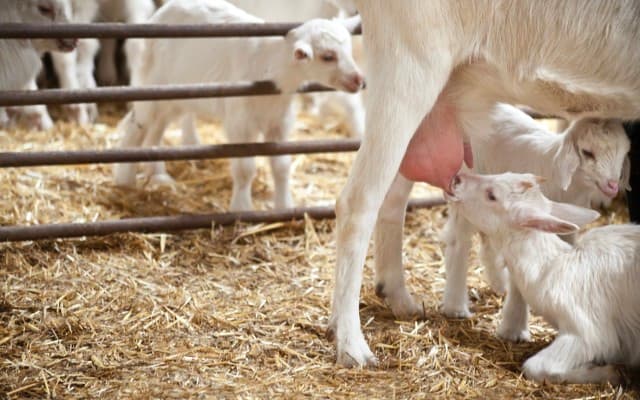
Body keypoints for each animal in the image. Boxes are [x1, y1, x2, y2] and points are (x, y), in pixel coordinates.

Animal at [112, 0, 364, 212]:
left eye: (349, 51)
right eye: (328, 56)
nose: (359, 80)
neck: (270, 66)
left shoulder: (279, 121)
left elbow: (282, 165)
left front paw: (284, 205)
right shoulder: (240, 122)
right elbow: (245, 169)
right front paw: (241, 208)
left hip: (173, 99)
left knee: (155, 132)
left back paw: (158, 176)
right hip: (152, 85)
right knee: (137, 127)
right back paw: (125, 179)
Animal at [447, 171, 640, 384]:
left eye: (492, 195)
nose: (458, 177)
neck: (550, 269)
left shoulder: (590, 331)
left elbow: (534, 366)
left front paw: (608, 373)